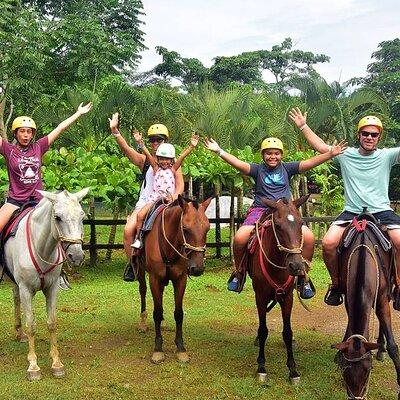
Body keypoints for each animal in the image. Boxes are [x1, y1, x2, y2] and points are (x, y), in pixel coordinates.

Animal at [3, 188, 88, 382]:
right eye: (57, 217)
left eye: (82, 215)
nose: (76, 256)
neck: (41, 248)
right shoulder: (26, 290)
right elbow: (31, 325)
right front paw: (33, 366)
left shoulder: (52, 289)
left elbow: (52, 323)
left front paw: (57, 363)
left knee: (15, 298)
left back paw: (19, 333)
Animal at [135, 195, 211, 364]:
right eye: (185, 229)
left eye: (207, 229)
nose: (197, 268)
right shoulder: (154, 278)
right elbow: (157, 312)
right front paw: (158, 349)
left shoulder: (180, 279)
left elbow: (179, 313)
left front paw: (181, 349)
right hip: (141, 271)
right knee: (142, 290)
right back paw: (142, 323)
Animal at [250, 197, 310, 384]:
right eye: (277, 225)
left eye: (301, 223)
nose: (296, 266)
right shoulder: (260, 297)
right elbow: (263, 330)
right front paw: (261, 367)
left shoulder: (288, 297)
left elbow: (287, 332)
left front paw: (293, 370)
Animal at [332, 211, 400, 398]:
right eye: (345, 371)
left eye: (368, 370)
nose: (357, 396)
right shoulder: (349, 299)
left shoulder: (382, 300)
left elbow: (393, 345)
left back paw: (381, 349)